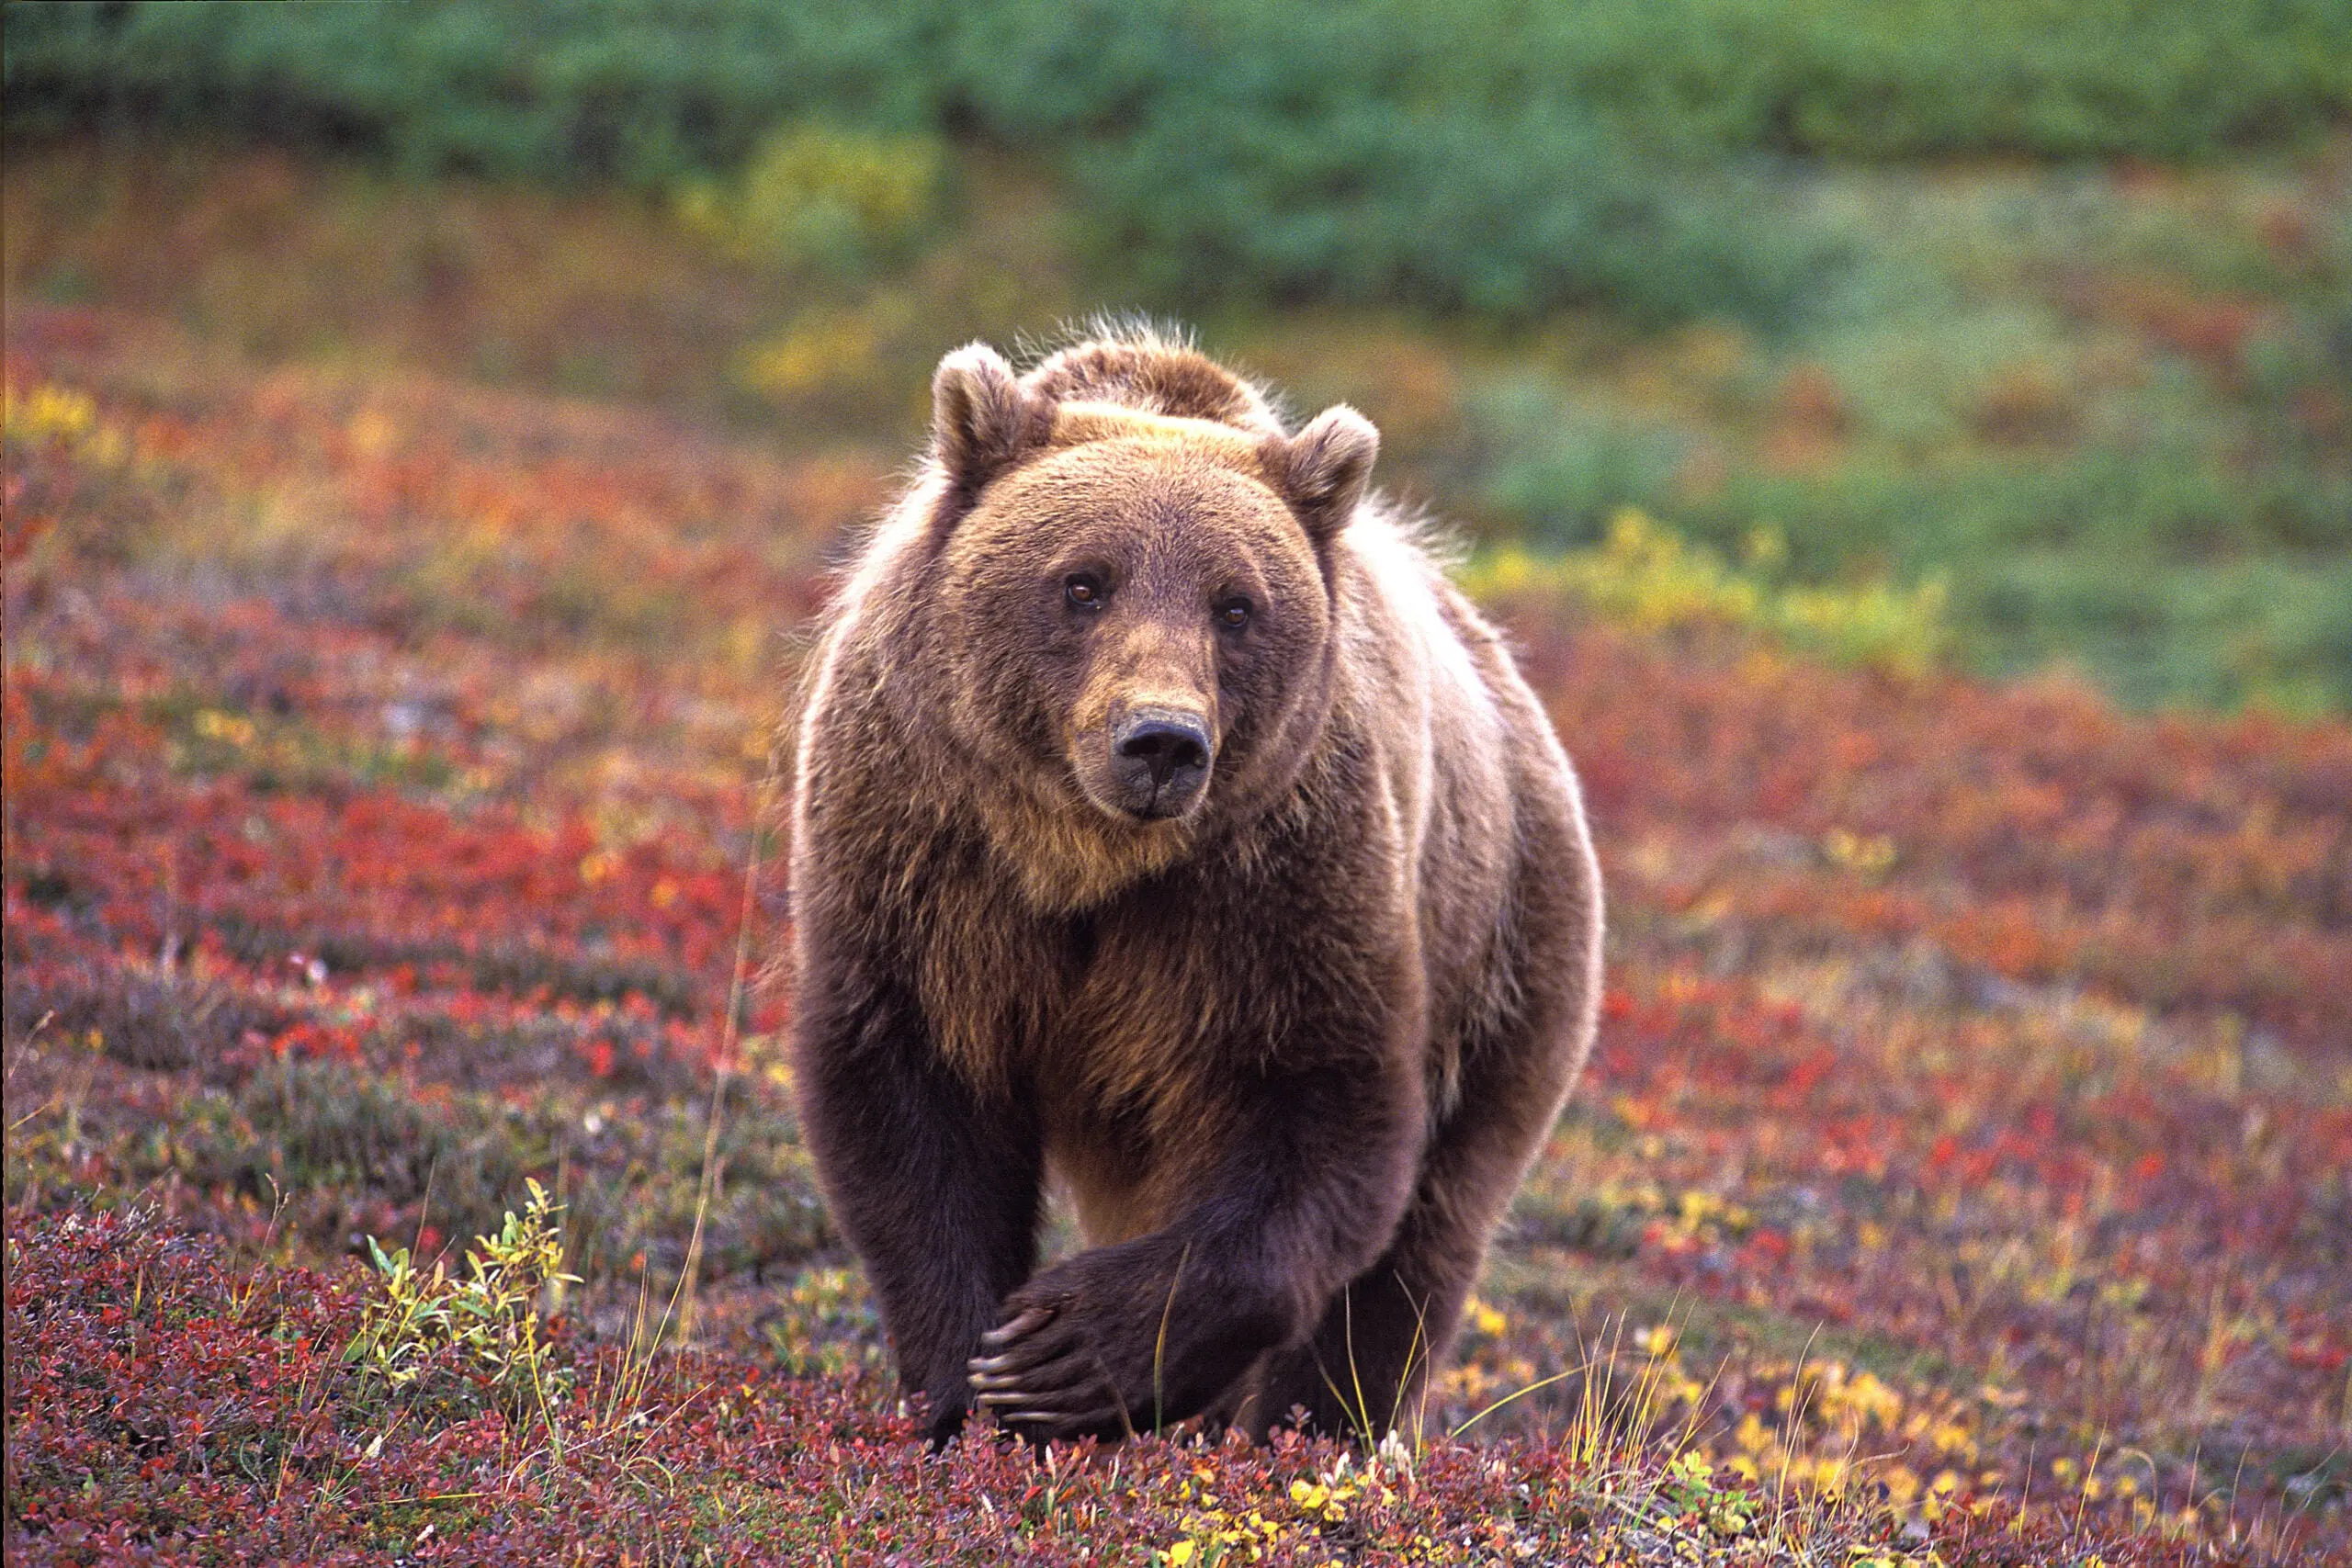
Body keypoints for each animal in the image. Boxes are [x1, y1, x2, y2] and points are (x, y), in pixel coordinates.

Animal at [786, 324, 1599, 1457]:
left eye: (1236, 604)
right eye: (1083, 582)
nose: (1162, 741)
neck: (1086, 859)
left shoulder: (1275, 886)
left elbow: (1318, 1114)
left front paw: (1069, 1349)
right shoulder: (925, 857)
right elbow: (911, 1102)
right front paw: (965, 1391)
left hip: (1506, 958)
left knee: (1423, 1236)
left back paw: (1323, 1437)